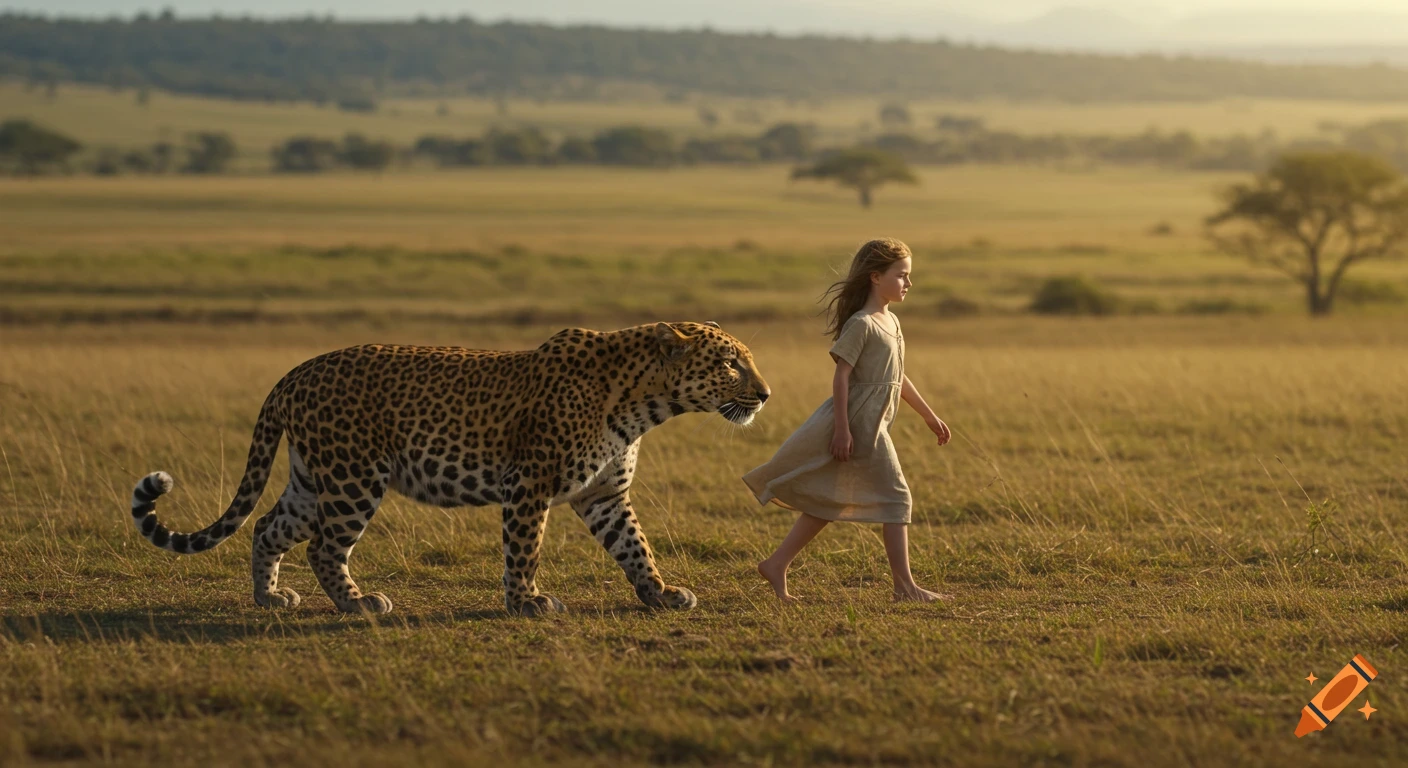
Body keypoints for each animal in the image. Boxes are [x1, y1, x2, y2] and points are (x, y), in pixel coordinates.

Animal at [129, 321, 770, 617]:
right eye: (730, 364)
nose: (765, 394)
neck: (645, 403)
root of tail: (292, 374)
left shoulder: (603, 495)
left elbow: (636, 546)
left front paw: (659, 593)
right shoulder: (529, 485)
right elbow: (524, 550)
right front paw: (526, 603)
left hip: (314, 479)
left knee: (268, 527)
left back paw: (270, 598)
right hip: (355, 476)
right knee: (323, 547)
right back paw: (359, 604)